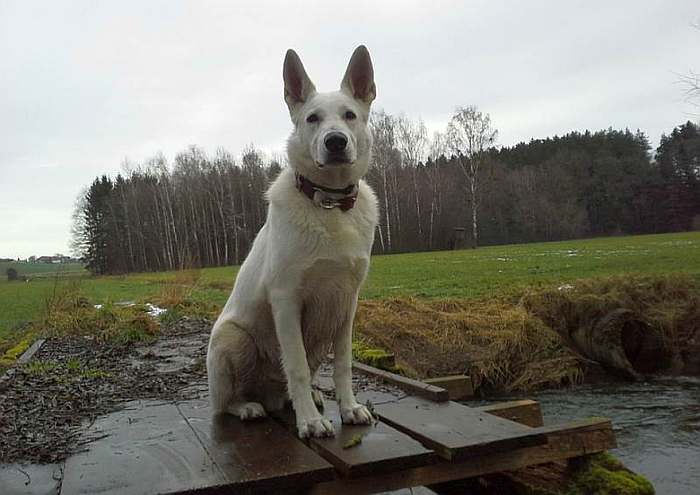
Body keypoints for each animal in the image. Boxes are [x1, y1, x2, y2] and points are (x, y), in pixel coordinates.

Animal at [206, 45, 378, 438]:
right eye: (313, 118)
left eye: (350, 115)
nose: (335, 141)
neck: (329, 204)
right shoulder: (286, 300)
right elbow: (296, 367)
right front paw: (311, 423)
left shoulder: (347, 303)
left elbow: (344, 365)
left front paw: (349, 408)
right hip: (232, 338)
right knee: (224, 404)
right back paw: (250, 406)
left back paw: (307, 397)